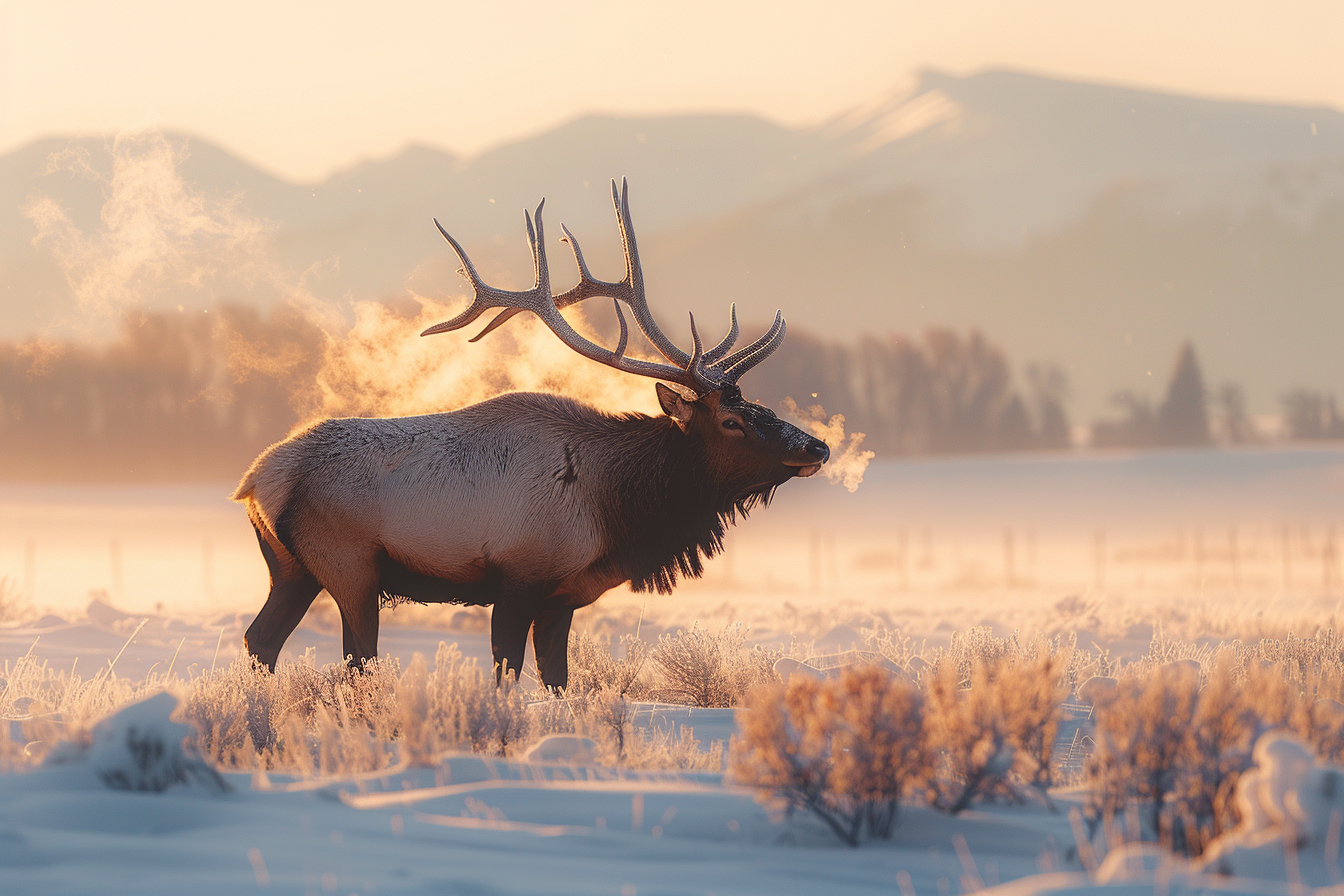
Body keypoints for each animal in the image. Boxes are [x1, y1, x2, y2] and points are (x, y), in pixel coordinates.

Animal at [232, 179, 829, 689]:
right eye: (732, 422)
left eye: (758, 405)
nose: (817, 446)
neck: (613, 508)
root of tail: (256, 480)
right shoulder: (519, 578)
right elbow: (507, 673)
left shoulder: (562, 597)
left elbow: (558, 681)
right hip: (349, 565)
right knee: (355, 658)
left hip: (292, 569)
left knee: (261, 639)